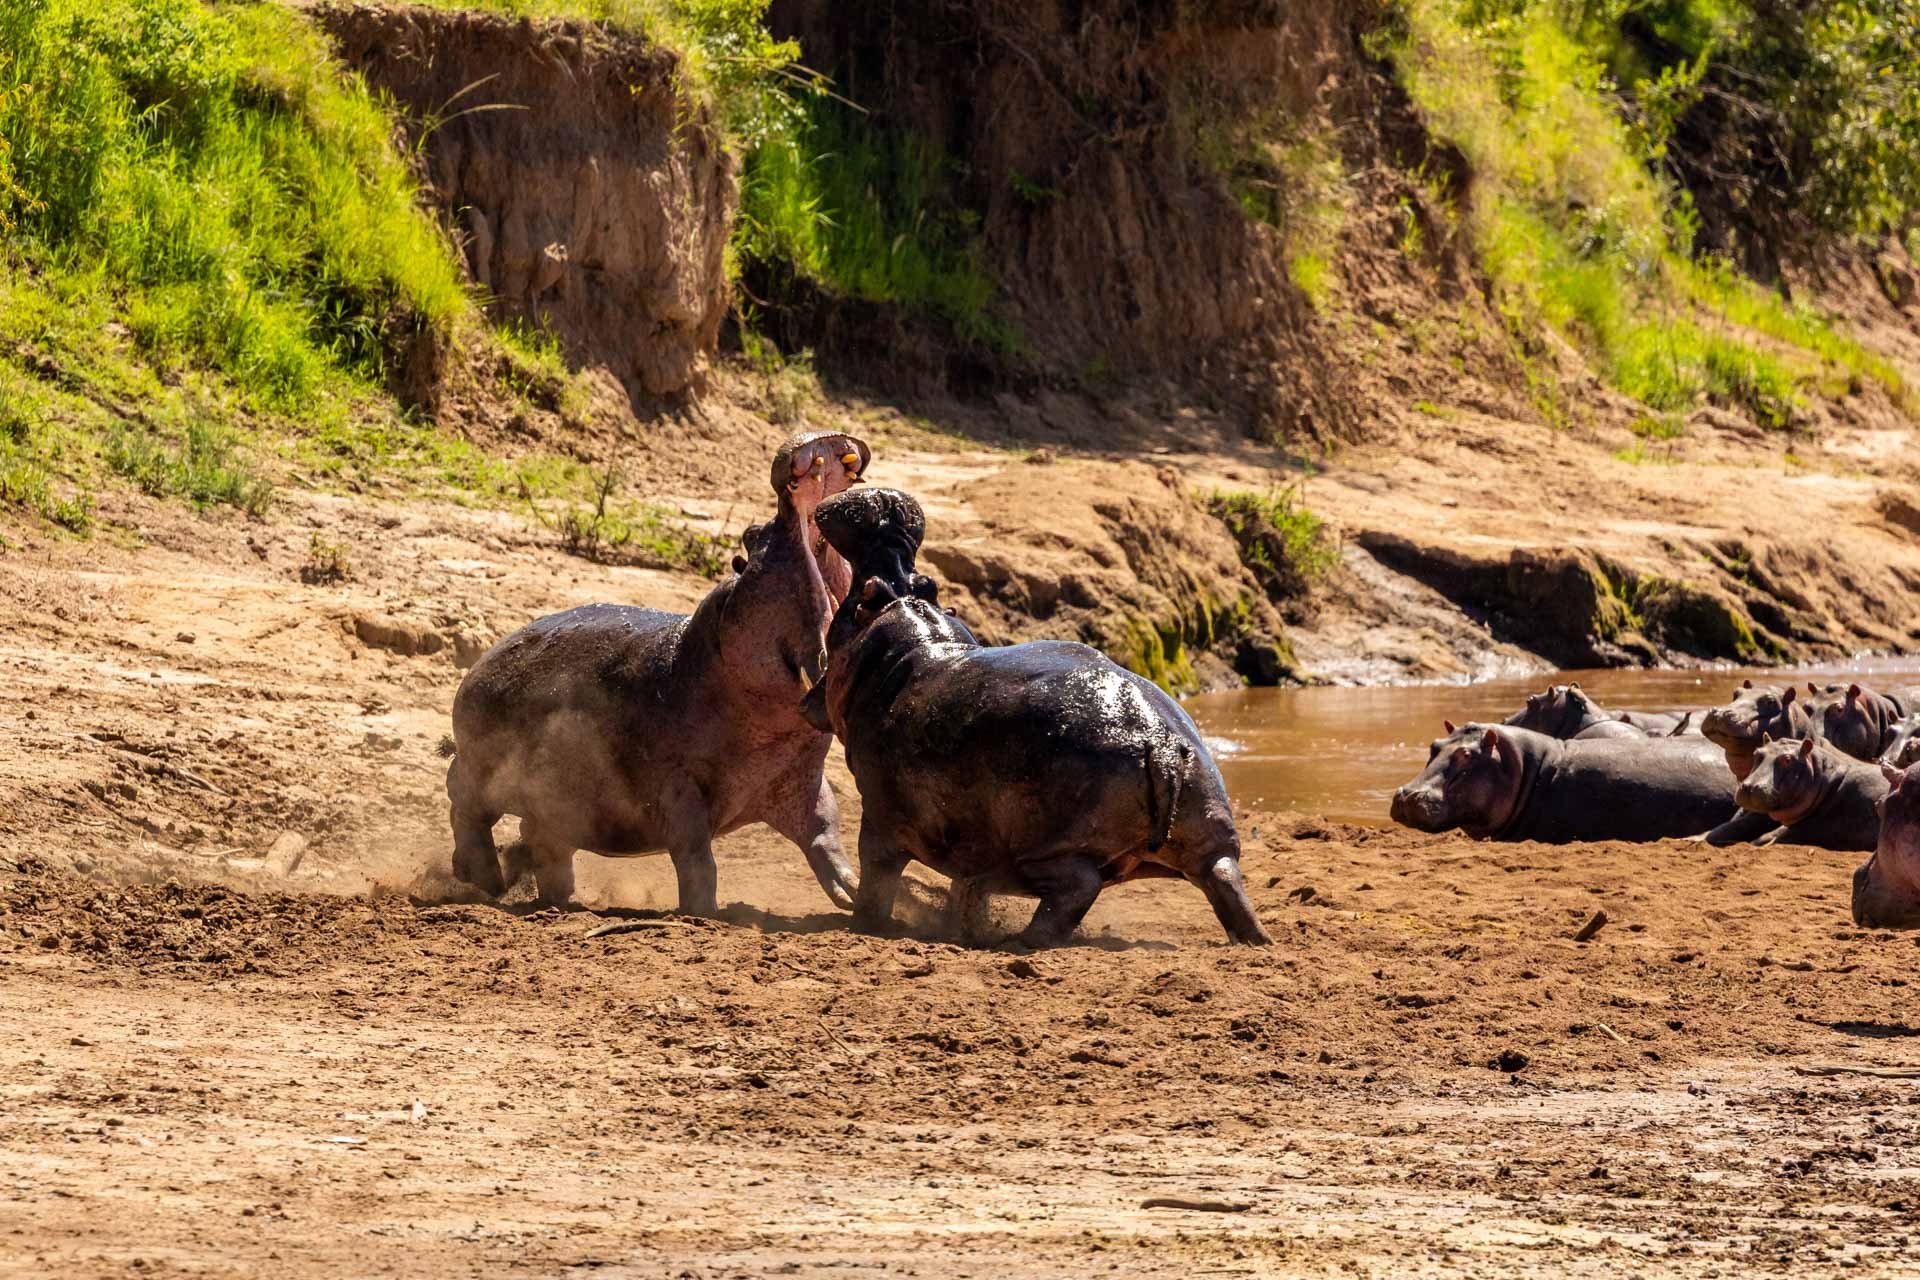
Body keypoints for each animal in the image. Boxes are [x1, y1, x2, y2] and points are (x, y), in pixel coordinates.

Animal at [441, 429, 871, 909]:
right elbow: (696, 857)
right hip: (482, 767)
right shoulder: (680, 787)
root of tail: (483, 658)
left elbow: (826, 839)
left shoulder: (803, 784)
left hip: (550, 800)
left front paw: (860, 895)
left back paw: (558, 898)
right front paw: (703, 913)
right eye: (751, 535)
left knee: (540, 836)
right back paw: (484, 878)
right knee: (462, 800)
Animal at [798, 491, 1267, 951]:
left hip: (1046, 850)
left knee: (1077, 888)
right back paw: (1253, 941)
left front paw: (865, 925)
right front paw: (958, 926)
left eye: (862, 596)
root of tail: (1163, 746)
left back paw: (1021, 942)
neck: (912, 642)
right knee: (1224, 878)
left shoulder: (881, 819)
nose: (884, 505)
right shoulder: (969, 839)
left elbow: (876, 879)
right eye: (927, 583)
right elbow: (964, 889)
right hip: (1209, 832)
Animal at [1728, 736, 1889, 855]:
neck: (1824, 780)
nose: (1749, 786)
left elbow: (1776, 839)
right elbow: (1767, 835)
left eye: (1787, 759)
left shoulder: (1809, 828)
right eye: (1756, 753)